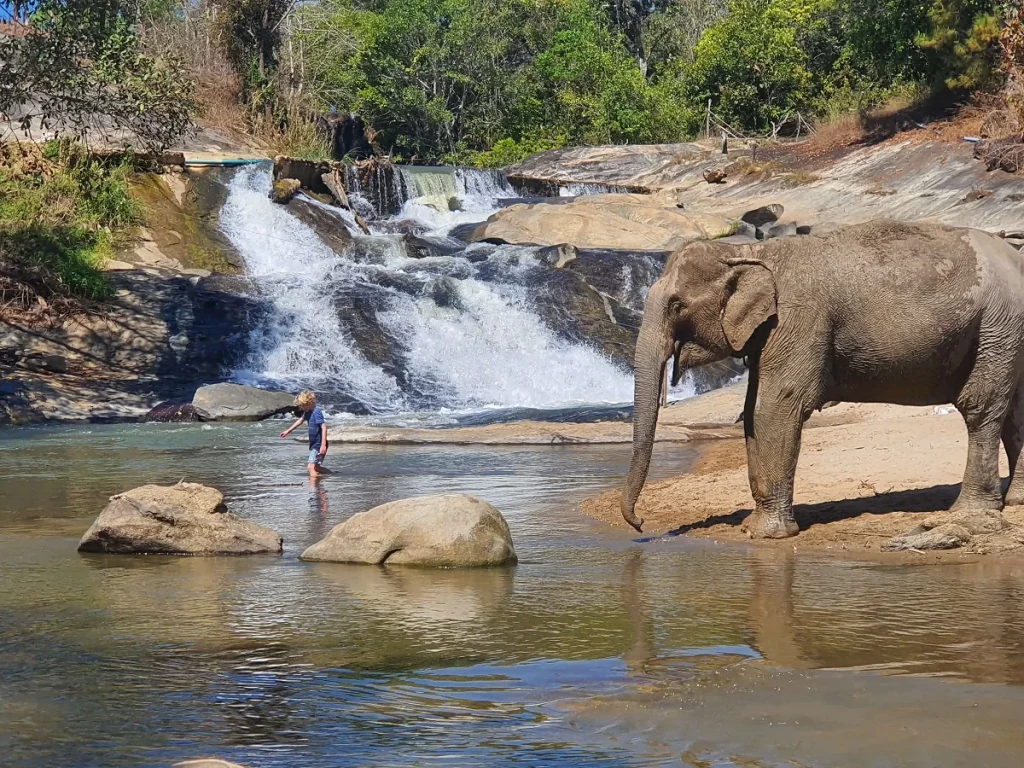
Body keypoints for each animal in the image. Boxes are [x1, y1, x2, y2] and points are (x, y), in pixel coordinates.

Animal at [621, 219, 1024, 538]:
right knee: (1015, 415)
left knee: (981, 407)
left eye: (677, 305)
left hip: (997, 324)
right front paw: (752, 527)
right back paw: (1016, 500)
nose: (640, 524)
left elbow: (776, 407)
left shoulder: (797, 320)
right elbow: (751, 411)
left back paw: (972, 510)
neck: (751, 250)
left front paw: (766, 534)